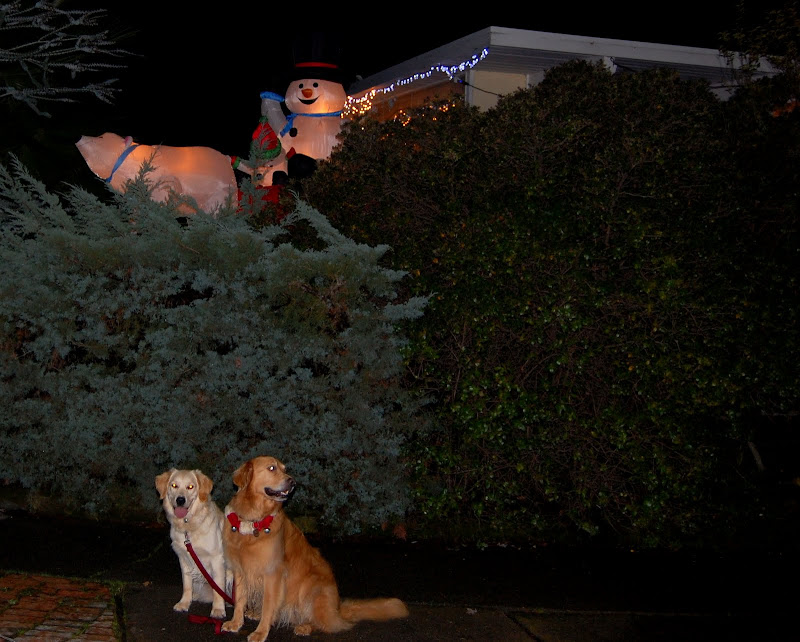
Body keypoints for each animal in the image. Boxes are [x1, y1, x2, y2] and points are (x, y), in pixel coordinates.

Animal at [155, 469, 231, 619]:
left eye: (190, 487)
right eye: (174, 485)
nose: (180, 500)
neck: (188, 526)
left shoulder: (217, 558)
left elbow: (218, 587)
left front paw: (218, 609)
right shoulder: (184, 558)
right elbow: (187, 584)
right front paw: (184, 603)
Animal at [221, 456, 409, 640]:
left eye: (285, 469)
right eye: (272, 468)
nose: (292, 482)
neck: (253, 520)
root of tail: (337, 609)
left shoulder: (273, 573)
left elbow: (268, 605)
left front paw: (260, 632)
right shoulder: (240, 570)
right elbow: (240, 600)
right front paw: (236, 623)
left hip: (311, 587)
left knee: (324, 623)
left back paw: (305, 626)